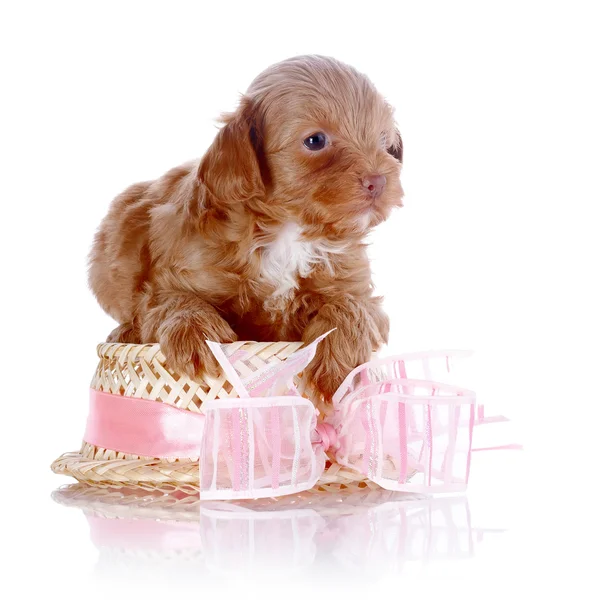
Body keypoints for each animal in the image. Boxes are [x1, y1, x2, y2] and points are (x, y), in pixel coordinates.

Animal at [88, 56, 404, 400]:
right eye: (315, 140)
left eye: (385, 143)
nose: (378, 181)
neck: (289, 232)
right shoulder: (168, 278)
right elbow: (173, 299)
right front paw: (197, 333)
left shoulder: (359, 291)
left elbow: (352, 306)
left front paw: (338, 366)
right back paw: (124, 331)